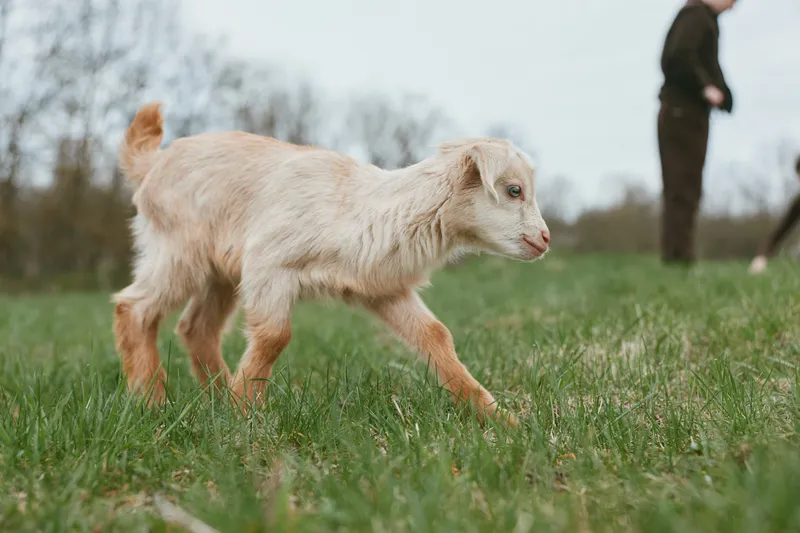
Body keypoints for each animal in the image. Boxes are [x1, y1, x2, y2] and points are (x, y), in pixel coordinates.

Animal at [112, 102, 550, 425]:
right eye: (513, 190)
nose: (545, 239)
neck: (364, 210)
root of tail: (150, 164)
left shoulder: (385, 290)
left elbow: (435, 336)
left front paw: (499, 418)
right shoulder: (270, 266)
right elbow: (274, 336)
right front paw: (246, 415)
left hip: (217, 271)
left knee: (197, 328)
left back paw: (216, 398)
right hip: (177, 250)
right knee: (134, 308)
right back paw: (151, 402)